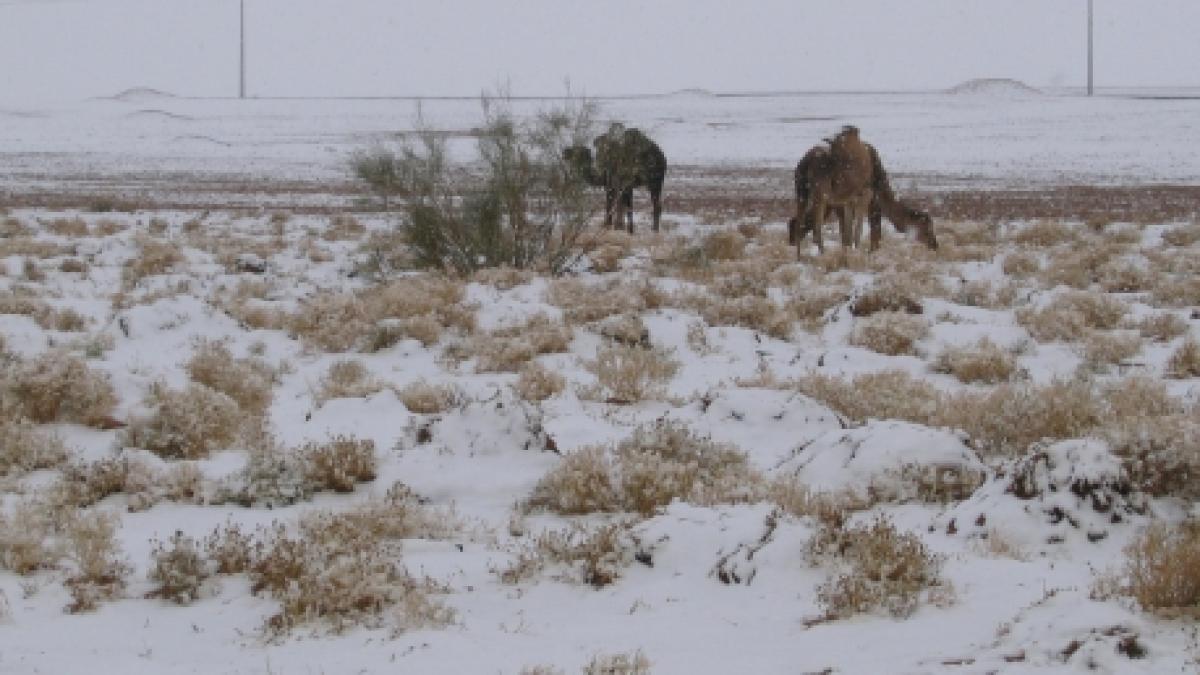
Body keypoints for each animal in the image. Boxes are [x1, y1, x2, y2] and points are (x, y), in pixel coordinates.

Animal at [787, 126, 936, 254]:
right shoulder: (866, 195)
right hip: (820, 193)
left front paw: (847, 253)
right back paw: (822, 254)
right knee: (816, 228)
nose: (935, 245)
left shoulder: (848, 200)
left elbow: (848, 233)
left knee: (799, 222)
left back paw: (799, 256)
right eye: (927, 229)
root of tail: (805, 162)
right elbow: (862, 229)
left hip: (802, 192)